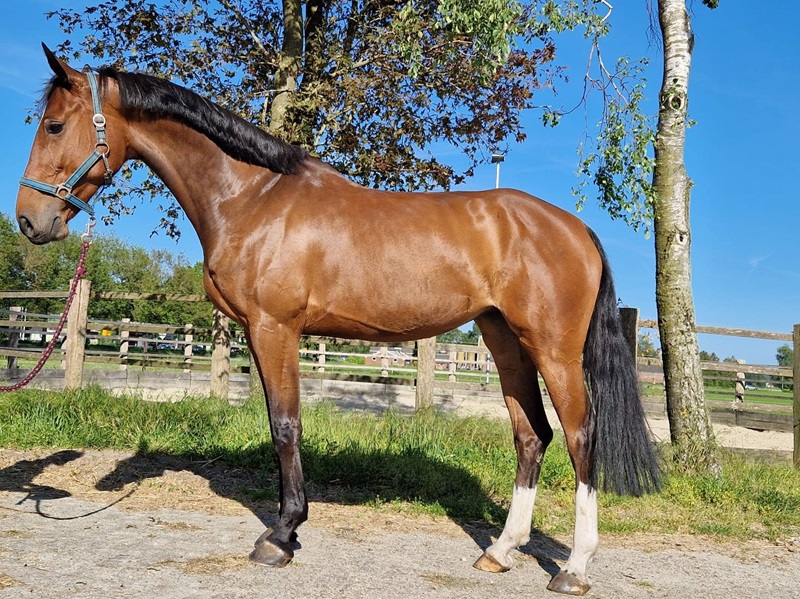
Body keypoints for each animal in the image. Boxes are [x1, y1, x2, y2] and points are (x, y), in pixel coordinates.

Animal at [15, 44, 660, 595]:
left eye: (54, 126)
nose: (28, 220)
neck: (253, 197)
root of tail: (574, 227)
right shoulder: (265, 332)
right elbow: (280, 422)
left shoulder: (275, 329)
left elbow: (285, 425)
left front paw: (281, 535)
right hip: (505, 342)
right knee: (532, 435)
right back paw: (499, 552)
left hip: (553, 349)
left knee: (579, 435)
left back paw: (573, 568)